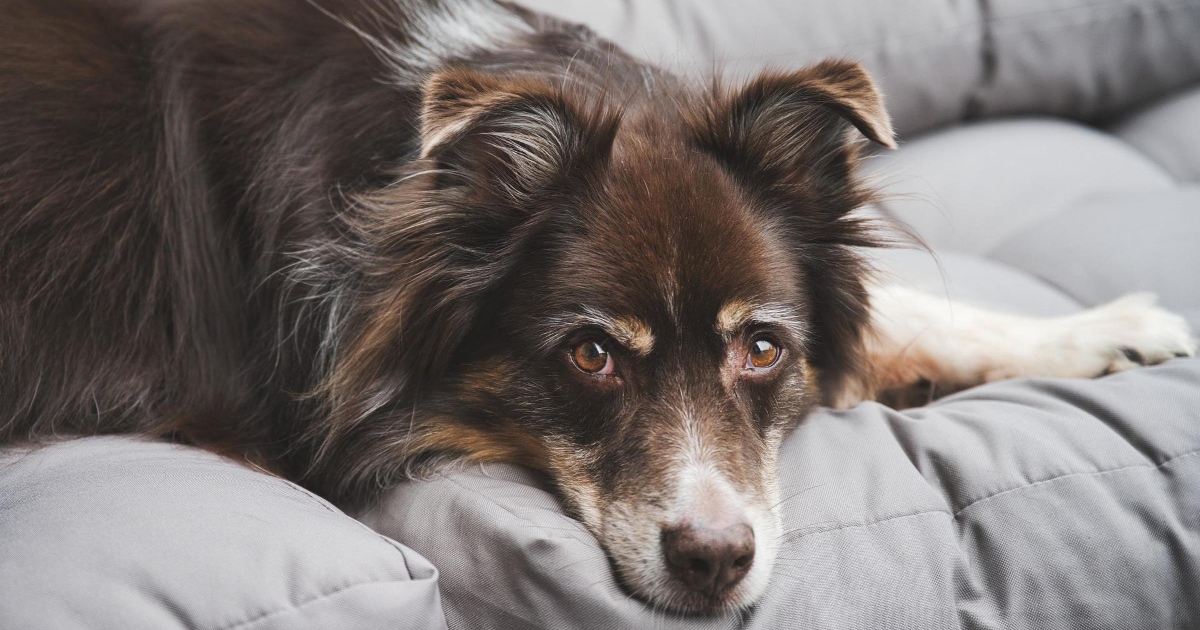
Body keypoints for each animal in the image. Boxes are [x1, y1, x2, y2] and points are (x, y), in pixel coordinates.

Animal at [4, 0, 1195, 612]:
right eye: (589, 357)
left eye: (764, 347)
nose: (714, 565)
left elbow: (902, 310)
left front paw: (1105, 331)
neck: (404, 180)